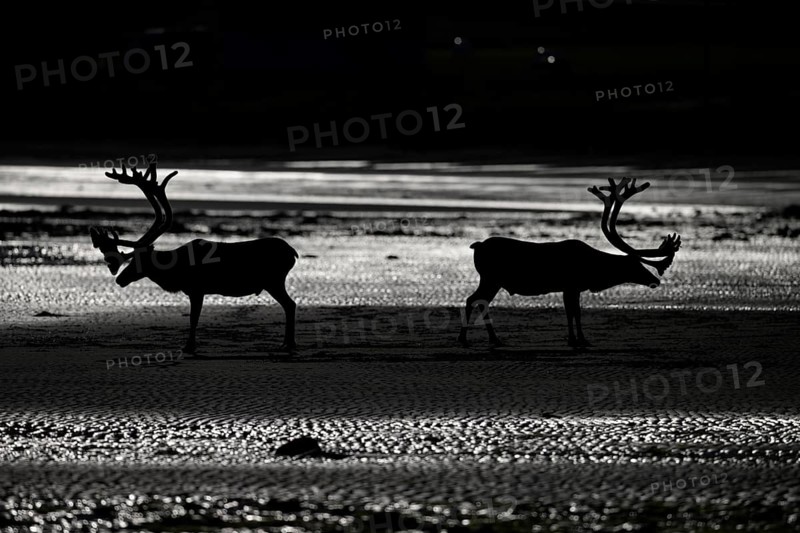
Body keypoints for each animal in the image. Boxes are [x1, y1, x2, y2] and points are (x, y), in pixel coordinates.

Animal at [89, 162, 299, 355]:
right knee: (290, 305)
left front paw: (189, 346)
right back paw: (287, 344)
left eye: (139, 260)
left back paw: (288, 344)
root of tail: (293, 253)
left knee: (290, 304)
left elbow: (193, 317)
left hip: (274, 281)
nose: (120, 279)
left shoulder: (197, 289)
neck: (176, 269)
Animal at [457, 177, 681, 348]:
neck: (594, 272)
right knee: (474, 300)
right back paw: (470, 340)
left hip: (491, 280)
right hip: (490, 278)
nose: (656, 280)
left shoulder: (572, 288)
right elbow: (573, 313)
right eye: (635, 264)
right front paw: (576, 340)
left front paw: (580, 340)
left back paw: (491, 339)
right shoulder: (570, 285)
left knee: (478, 301)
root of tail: (476, 246)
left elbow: (575, 313)